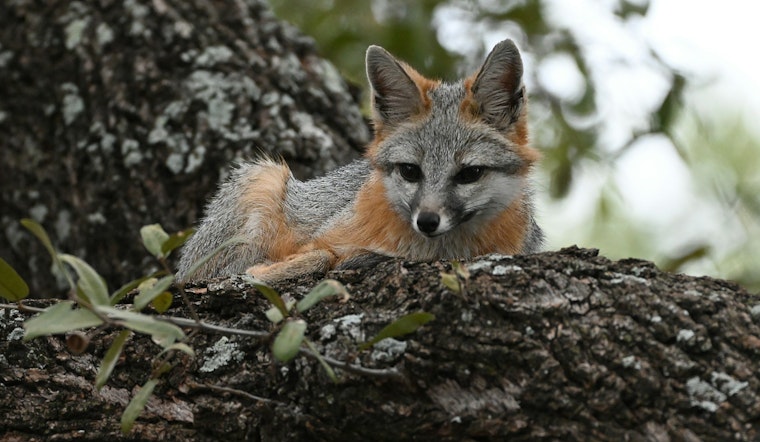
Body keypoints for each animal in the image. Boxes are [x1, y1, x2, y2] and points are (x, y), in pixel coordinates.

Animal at [176, 39, 543, 283]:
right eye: (410, 171)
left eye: (470, 174)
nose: (427, 221)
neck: (433, 251)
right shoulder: (319, 236)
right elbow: (319, 254)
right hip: (264, 179)